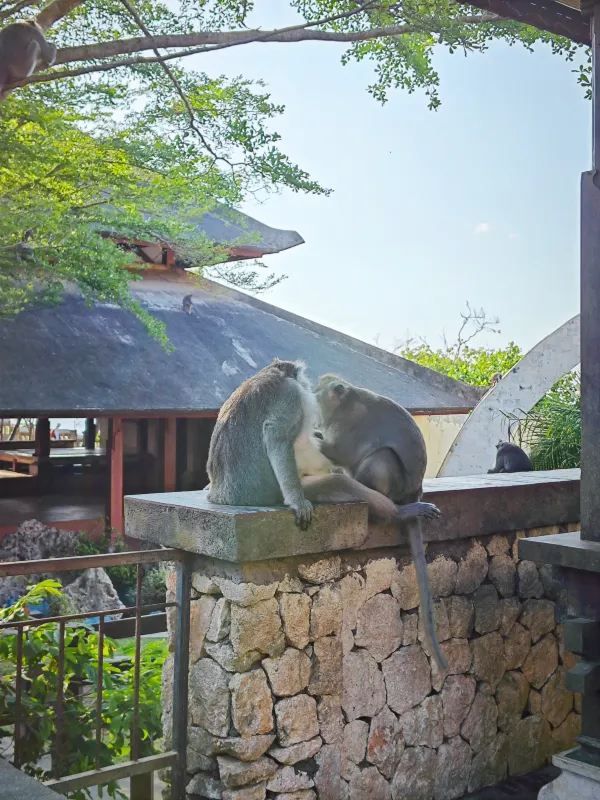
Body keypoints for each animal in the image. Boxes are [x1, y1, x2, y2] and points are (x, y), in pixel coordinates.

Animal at [310, 376, 446, 668]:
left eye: (316, 390)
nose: (310, 395)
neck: (342, 404)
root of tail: (413, 492)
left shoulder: (348, 424)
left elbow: (339, 451)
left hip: (394, 485)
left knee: (382, 457)